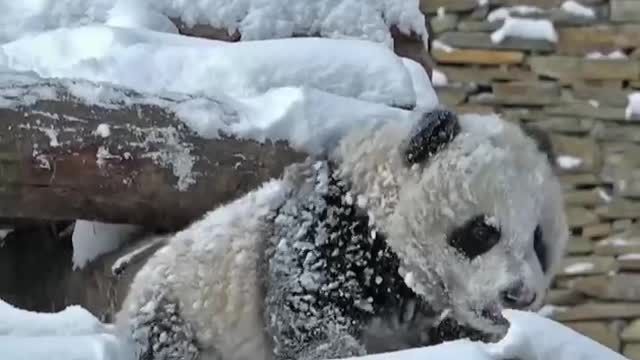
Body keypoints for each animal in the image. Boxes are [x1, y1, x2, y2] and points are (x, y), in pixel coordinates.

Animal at [114, 109, 568, 360]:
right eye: (481, 232)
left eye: (538, 240)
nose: (518, 295)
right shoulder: (327, 233)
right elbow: (312, 326)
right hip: (181, 313)